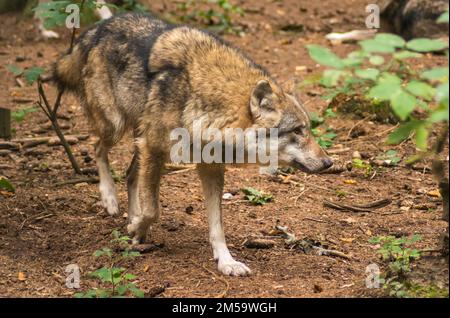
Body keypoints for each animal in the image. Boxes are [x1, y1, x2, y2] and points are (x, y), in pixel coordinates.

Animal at [54, 13, 332, 276]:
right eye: (298, 130)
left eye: (308, 129)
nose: (329, 162)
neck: (204, 101)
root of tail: (98, 28)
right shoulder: (154, 148)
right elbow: (153, 209)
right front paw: (136, 225)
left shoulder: (209, 168)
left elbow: (217, 225)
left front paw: (227, 262)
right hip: (116, 125)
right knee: (98, 149)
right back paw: (110, 199)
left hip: (138, 141)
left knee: (131, 175)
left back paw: (132, 219)